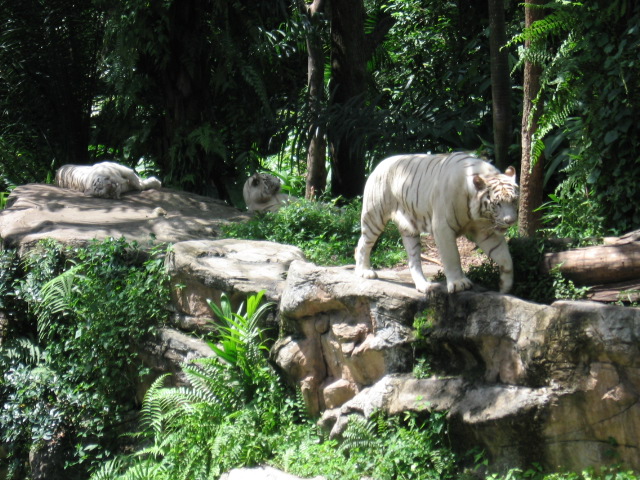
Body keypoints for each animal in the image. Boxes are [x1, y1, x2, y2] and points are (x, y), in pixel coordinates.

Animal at [354, 152, 519, 294]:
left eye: (514, 200)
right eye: (497, 204)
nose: (511, 221)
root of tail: (379, 164)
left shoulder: (486, 231)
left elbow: (505, 257)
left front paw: (505, 287)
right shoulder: (443, 227)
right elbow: (452, 256)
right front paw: (458, 283)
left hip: (410, 228)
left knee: (413, 260)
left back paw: (424, 286)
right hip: (374, 216)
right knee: (362, 244)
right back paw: (365, 271)